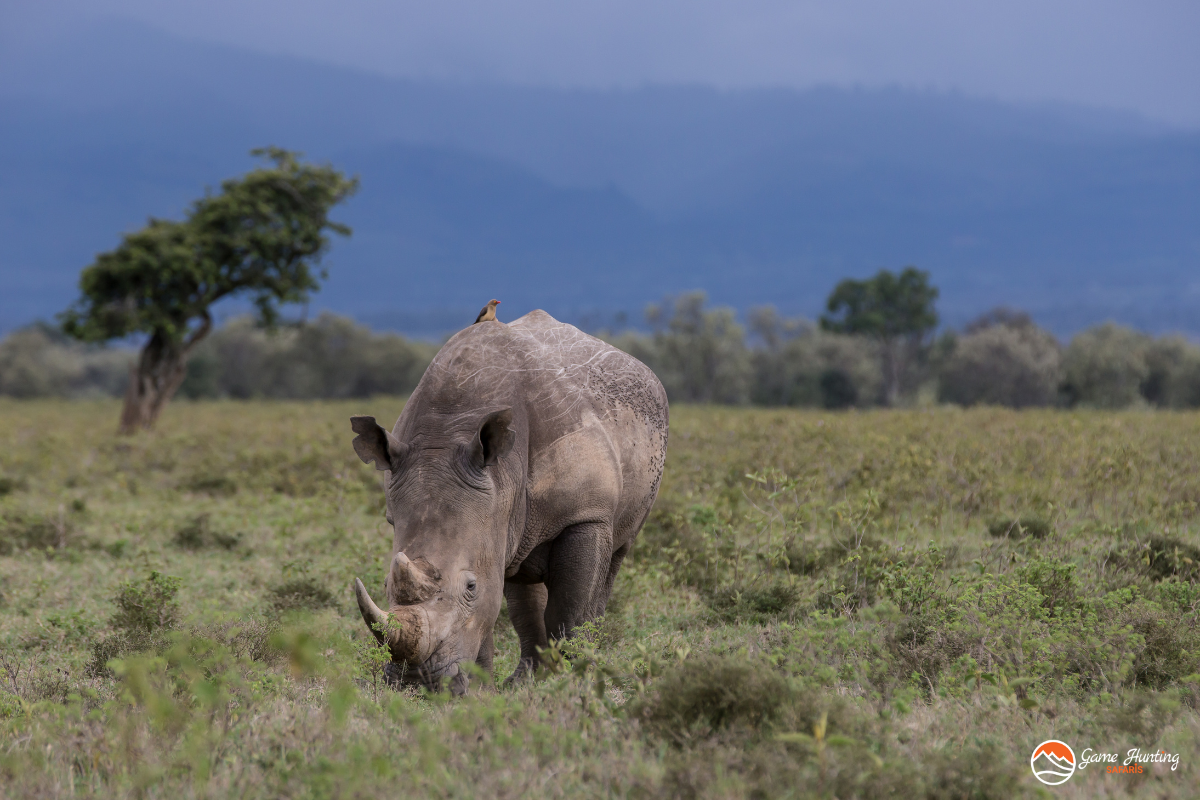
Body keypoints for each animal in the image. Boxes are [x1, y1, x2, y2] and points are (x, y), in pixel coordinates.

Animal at [350, 310, 668, 694]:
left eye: (469, 587)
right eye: (385, 585)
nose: (414, 681)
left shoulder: (586, 515)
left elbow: (570, 610)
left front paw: (576, 683)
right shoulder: (491, 515)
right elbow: (493, 610)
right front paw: (482, 691)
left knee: (612, 564)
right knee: (521, 585)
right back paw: (524, 679)